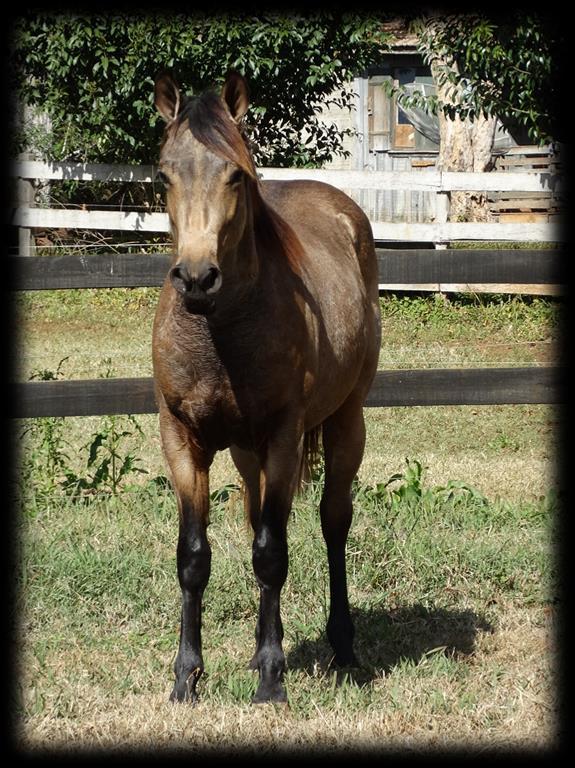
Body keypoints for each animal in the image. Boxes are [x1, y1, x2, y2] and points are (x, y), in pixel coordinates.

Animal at [152, 70, 382, 704]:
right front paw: (186, 677)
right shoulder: (183, 441)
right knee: (260, 517)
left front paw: (274, 682)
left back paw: (343, 647)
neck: (221, 333)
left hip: (346, 421)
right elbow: (193, 558)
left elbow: (272, 554)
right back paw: (259, 651)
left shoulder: (284, 436)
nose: (197, 278)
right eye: (163, 174)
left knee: (333, 521)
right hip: (245, 450)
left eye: (236, 175)